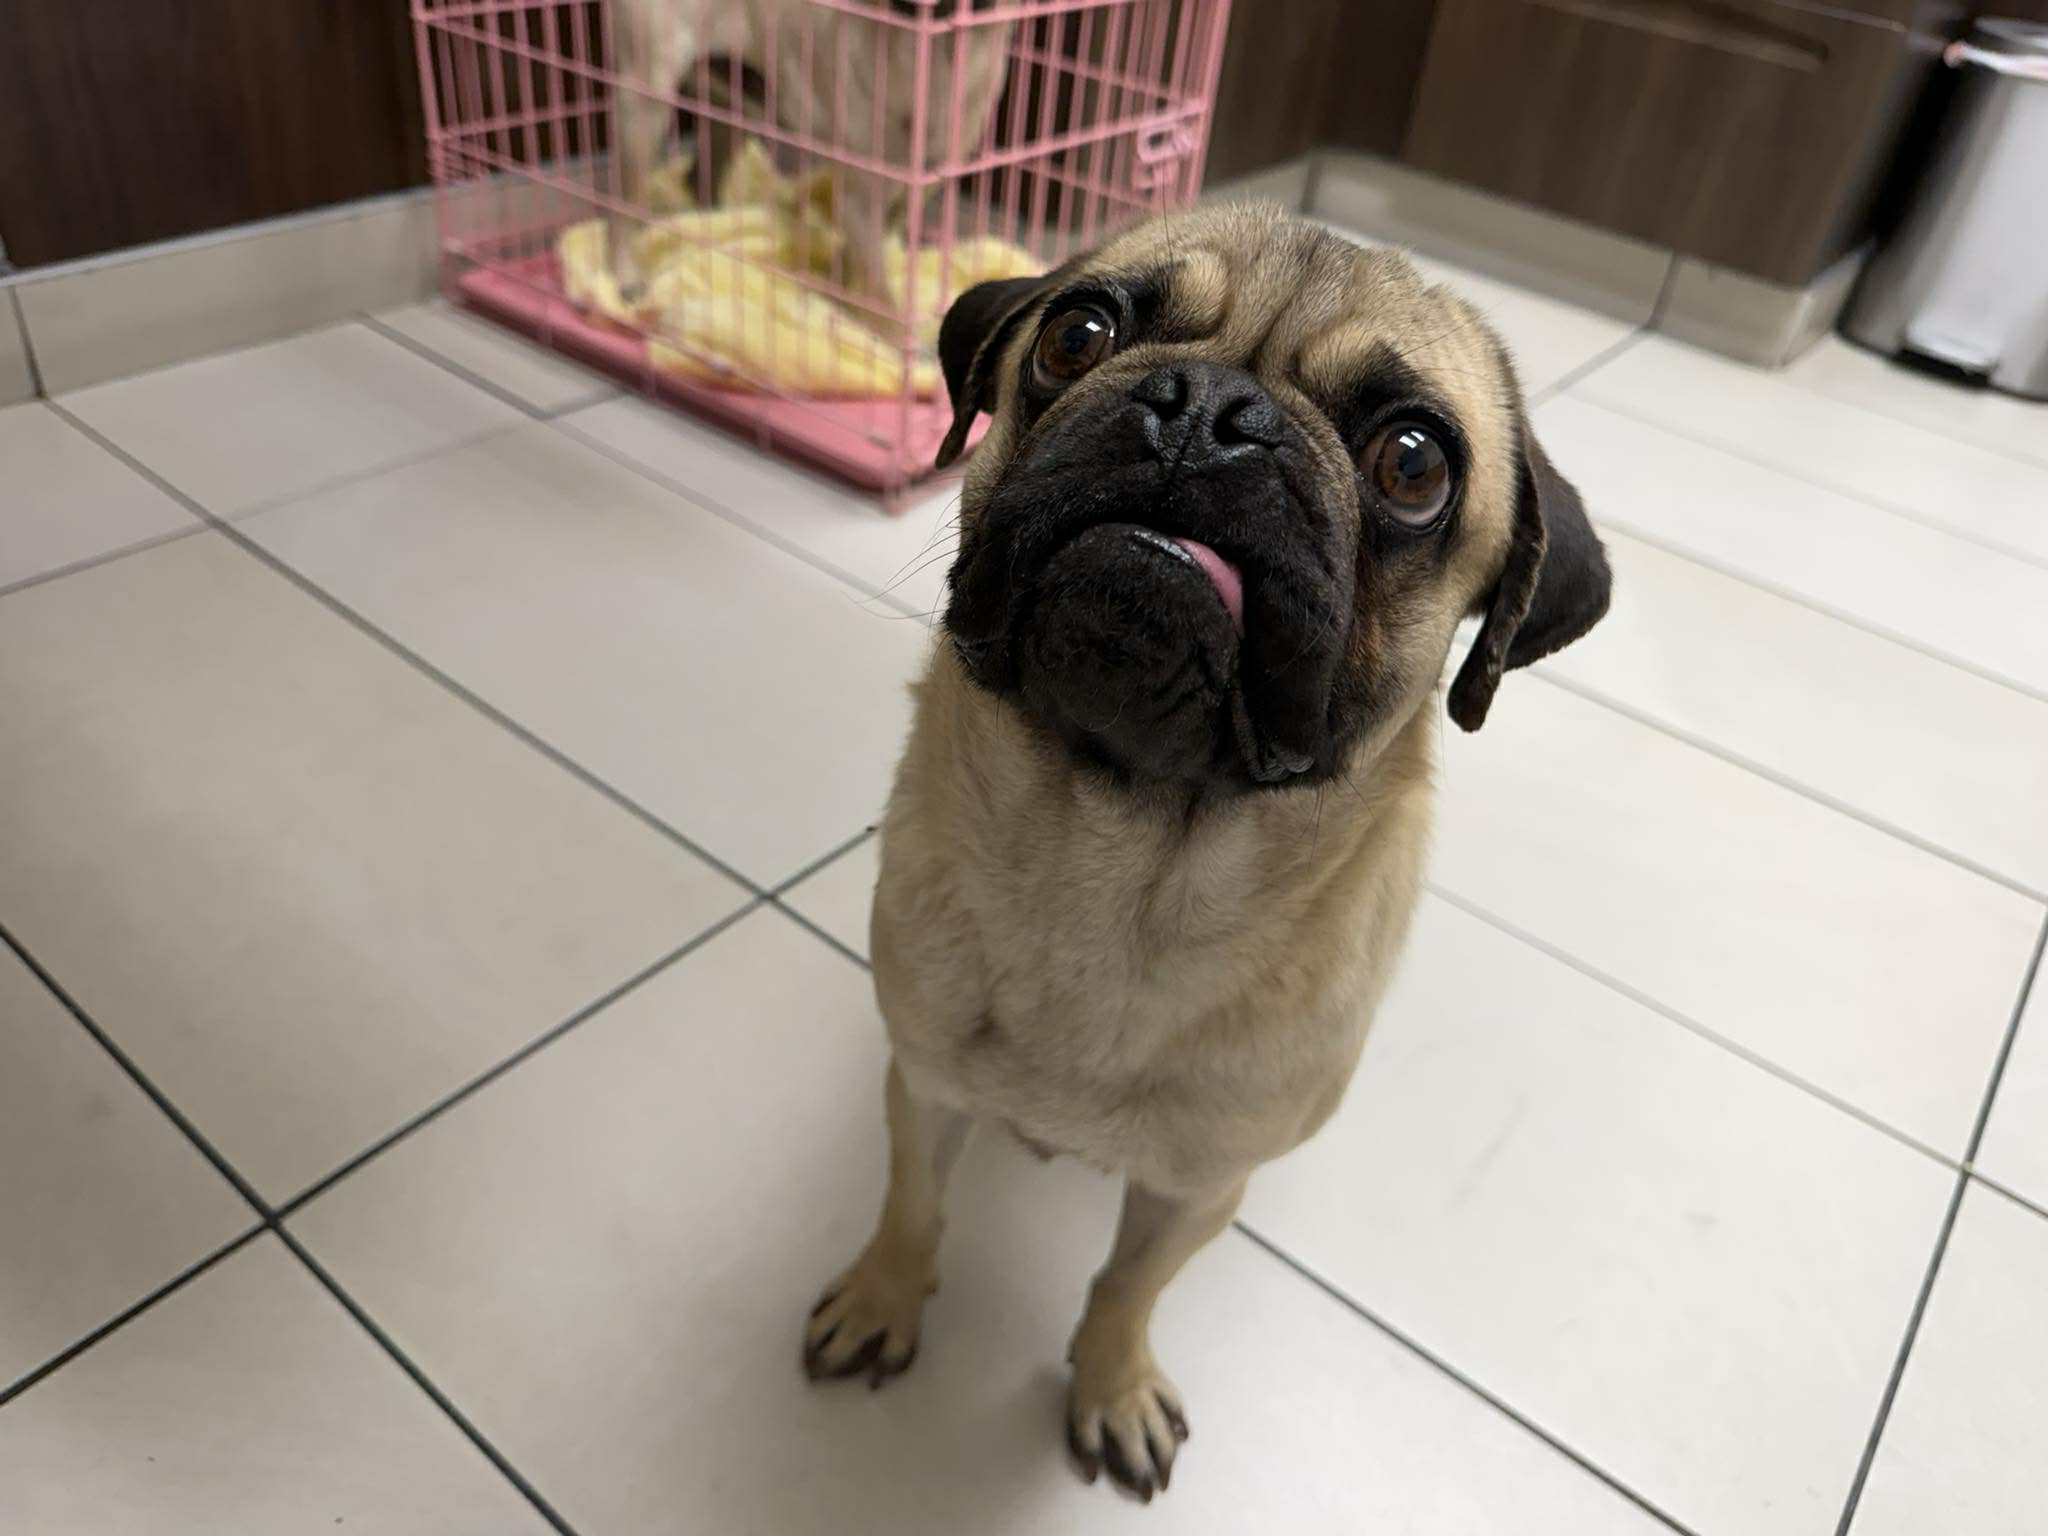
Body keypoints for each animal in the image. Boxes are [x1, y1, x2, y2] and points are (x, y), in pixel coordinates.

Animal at [608, 0, 1013, 303]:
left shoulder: (905, 196)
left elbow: (862, 263)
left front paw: (840, 293)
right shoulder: (859, 198)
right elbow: (882, 297)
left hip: (734, 106)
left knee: (699, 178)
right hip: (643, 107)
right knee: (624, 206)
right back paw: (628, 275)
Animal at [800, 205, 1613, 1500]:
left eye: (1413, 465)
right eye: (1077, 336)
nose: (1208, 410)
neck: (1112, 862)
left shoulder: (1194, 1190)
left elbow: (1125, 1284)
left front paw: (1109, 1384)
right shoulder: (922, 1086)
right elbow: (913, 1204)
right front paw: (884, 1297)